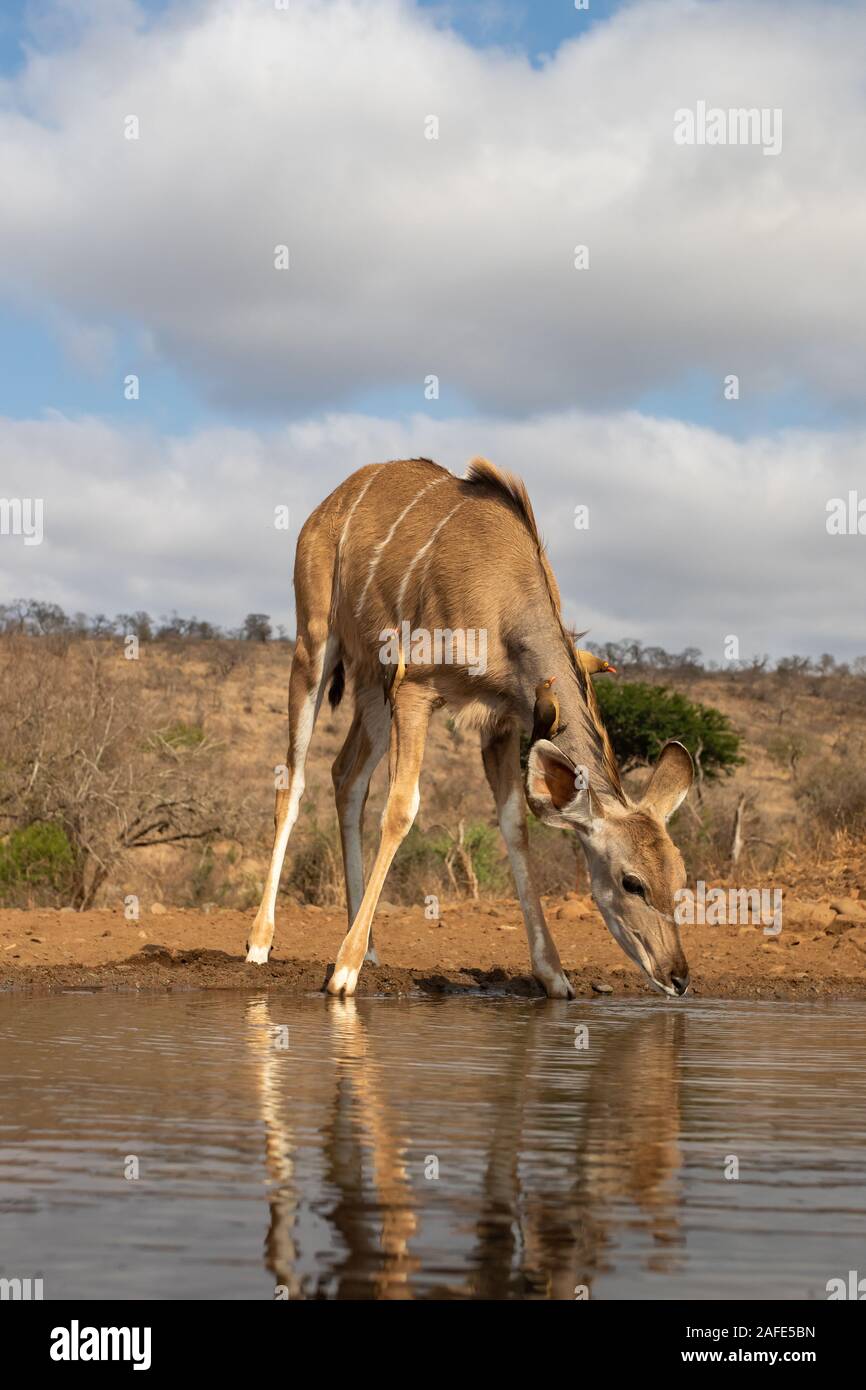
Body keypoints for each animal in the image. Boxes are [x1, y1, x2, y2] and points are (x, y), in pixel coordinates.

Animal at [247, 461, 695, 995]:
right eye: (632, 882)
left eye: (680, 878)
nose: (678, 976)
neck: (504, 600)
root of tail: (327, 506)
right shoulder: (417, 689)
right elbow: (402, 809)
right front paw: (342, 973)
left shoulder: (501, 720)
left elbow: (515, 825)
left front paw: (554, 975)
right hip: (314, 646)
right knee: (292, 783)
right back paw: (262, 943)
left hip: (374, 689)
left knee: (346, 777)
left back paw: (370, 946)